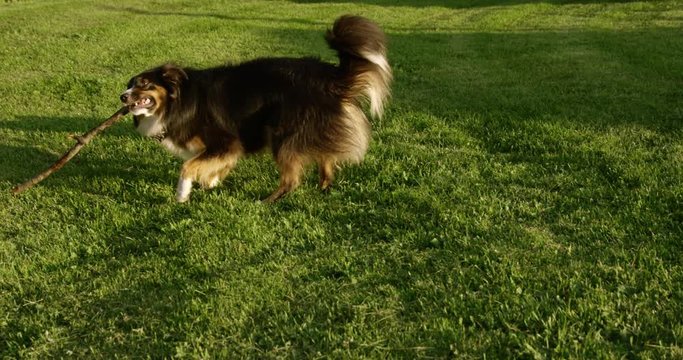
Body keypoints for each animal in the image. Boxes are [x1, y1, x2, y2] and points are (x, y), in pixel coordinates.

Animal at [120, 14, 392, 202]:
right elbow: (212, 167)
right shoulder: (224, 149)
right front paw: (212, 182)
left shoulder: (227, 141)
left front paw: (182, 194)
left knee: (292, 179)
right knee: (325, 161)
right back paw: (322, 190)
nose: (122, 97)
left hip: (283, 133)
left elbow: (188, 167)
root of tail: (330, 77)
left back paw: (267, 201)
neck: (179, 101)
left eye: (143, 84)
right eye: (129, 84)